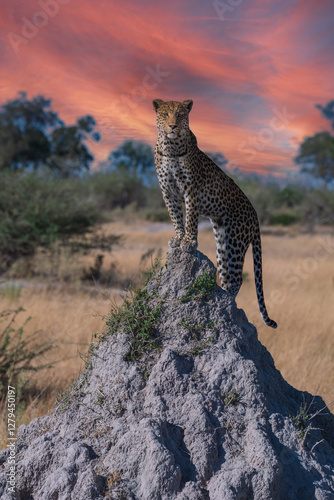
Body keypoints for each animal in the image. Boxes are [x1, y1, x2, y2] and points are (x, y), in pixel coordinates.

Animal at [153, 99, 278, 330]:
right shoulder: (168, 192)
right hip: (222, 240)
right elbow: (176, 217)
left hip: (236, 241)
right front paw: (177, 238)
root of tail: (255, 213)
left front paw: (189, 242)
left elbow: (190, 219)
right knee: (227, 276)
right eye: (165, 114)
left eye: (180, 115)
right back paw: (226, 300)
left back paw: (228, 305)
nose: (173, 126)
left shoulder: (190, 190)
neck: (171, 148)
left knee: (237, 279)